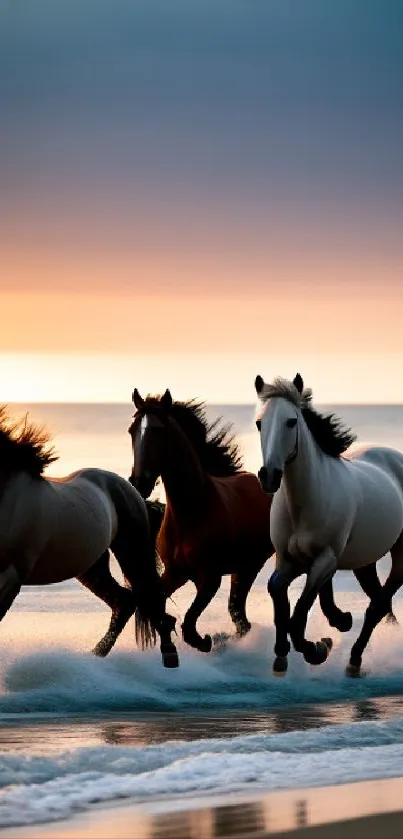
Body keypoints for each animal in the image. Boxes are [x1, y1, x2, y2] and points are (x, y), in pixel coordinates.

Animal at [0, 406, 178, 668]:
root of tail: (131, 490)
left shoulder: (12, 576)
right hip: (93, 566)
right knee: (124, 602)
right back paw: (94, 658)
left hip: (131, 554)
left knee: (149, 598)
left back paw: (169, 656)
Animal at [128, 388, 352, 656]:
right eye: (132, 430)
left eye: (159, 431)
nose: (139, 482)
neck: (191, 512)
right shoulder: (175, 572)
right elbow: (160, 604)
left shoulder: (209, 578)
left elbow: (190, 626)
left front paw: (207, 640)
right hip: (246, 566)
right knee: (242, 616)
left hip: (259, 563)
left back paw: (329, 633)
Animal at [256, 374, 403, 676]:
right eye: (259, 423)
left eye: (291, 421)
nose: (269, 476)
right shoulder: (288, 560)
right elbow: (278, 593)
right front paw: (282, 654)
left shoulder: (325, 559)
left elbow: (300, 612)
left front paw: (317, 648)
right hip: (364, 563)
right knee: (380, 603)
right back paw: (354, 653)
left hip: (402, 554)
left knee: (378, 605)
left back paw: (354, 659)